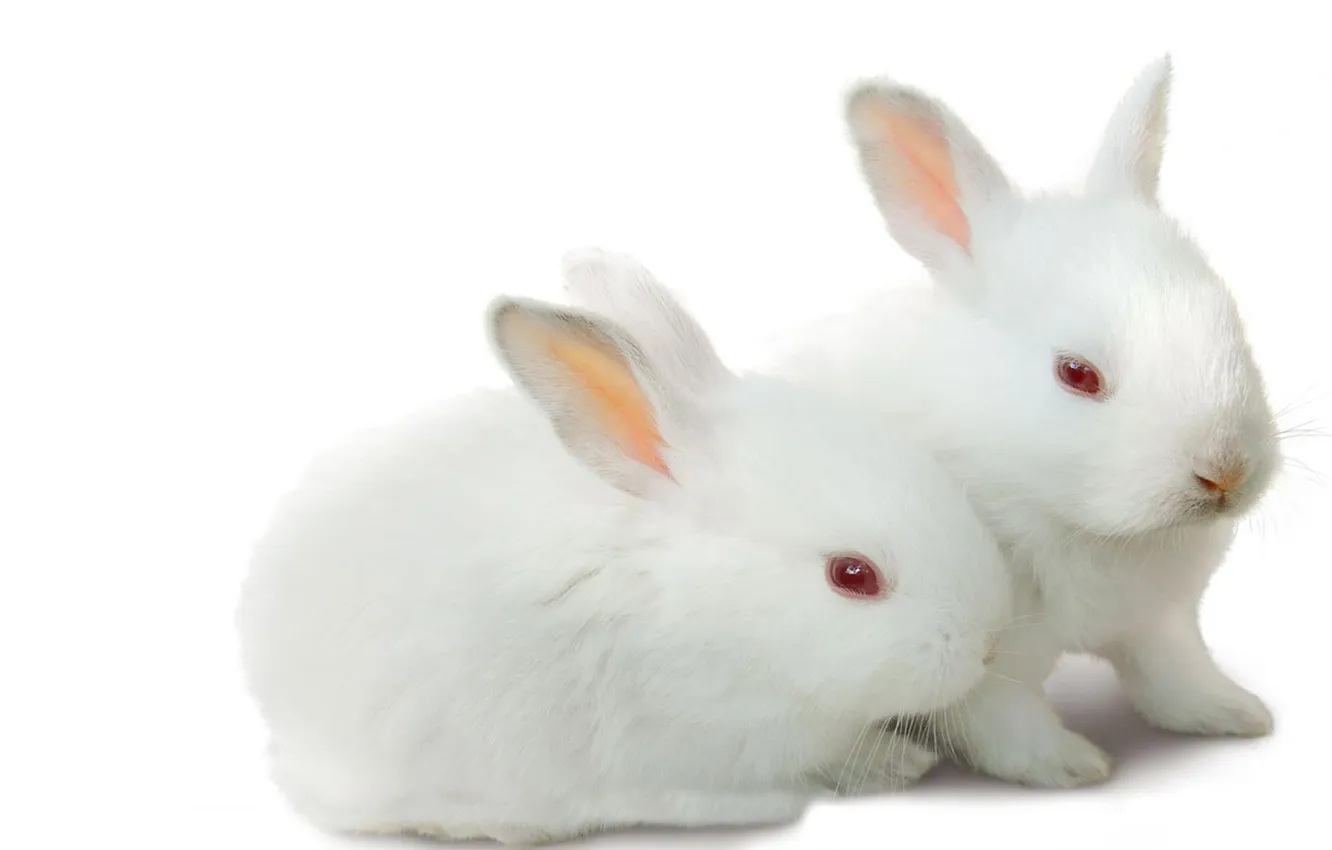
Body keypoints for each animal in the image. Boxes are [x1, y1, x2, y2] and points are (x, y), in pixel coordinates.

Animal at [759, 55, 1283, 788]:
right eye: (1077, 373)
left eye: (1231, 322)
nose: (1225, 472)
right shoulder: (982, 664)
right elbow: (1005, 725)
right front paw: (1074, 767)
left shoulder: (1159, 622)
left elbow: (1174, 678)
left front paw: (1236, 715)